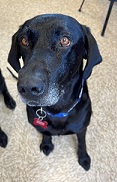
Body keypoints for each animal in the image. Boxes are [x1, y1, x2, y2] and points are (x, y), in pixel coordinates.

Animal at [7, 14, 102, 171]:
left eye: (65, 40)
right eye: (24, 40)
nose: (28, 87)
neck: (58, 109)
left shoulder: (82, 128)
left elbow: (82, 143)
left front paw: (84, 158)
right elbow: (46, 133)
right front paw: (46, 144)